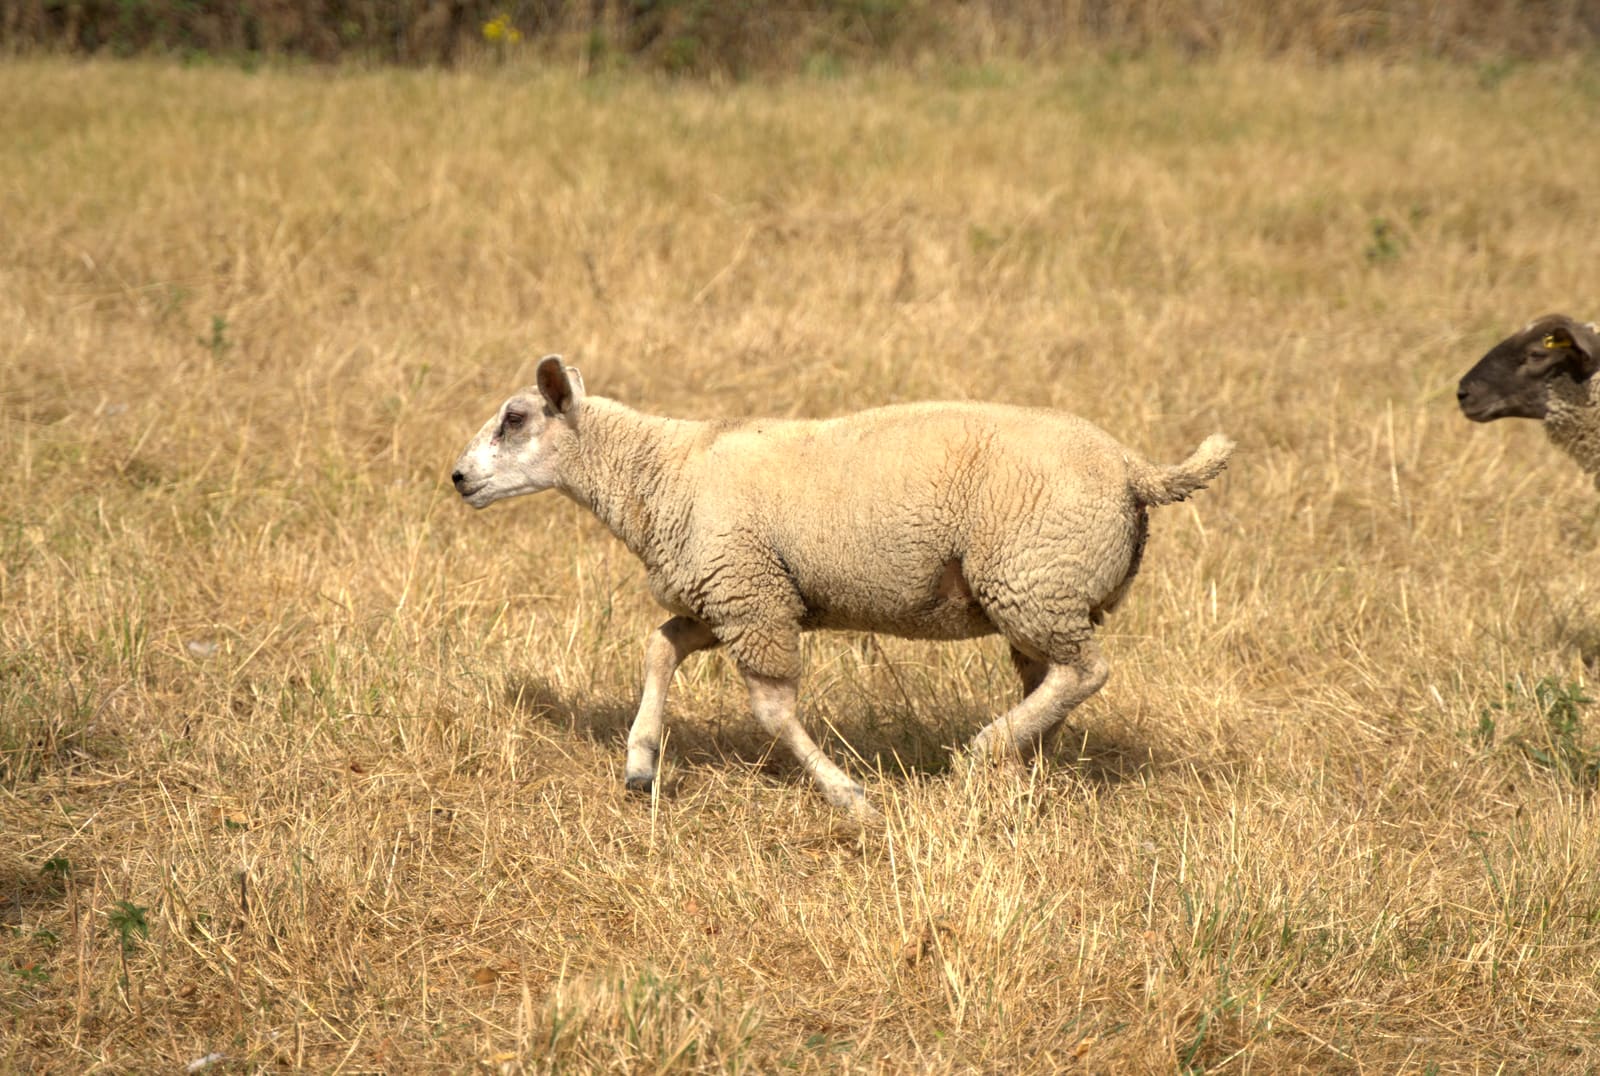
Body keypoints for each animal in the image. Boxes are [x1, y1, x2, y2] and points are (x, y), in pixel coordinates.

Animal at [451, 356, 1234, 820]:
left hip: (1035, 578)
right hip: (1038, 590)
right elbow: (659, 647)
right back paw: (1021, 767)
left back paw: (985, 752)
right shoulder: (729, 596)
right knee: (1055, 678)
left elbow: (772, 712)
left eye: (514, 420)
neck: (658, 470)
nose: (458, 478)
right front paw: (640, 764)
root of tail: (1135, 469)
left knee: (1087, 671)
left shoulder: (752, 596)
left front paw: (849, 795)